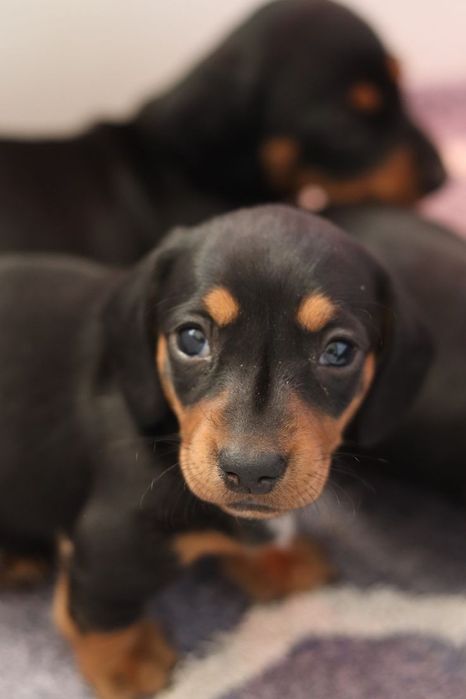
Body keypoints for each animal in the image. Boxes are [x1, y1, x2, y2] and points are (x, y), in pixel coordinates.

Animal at [0, 205, 431, 697]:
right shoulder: (111, 541)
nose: (250, 472)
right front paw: (128, 664)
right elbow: (104, 613)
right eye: (191, 339)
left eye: (340, 351)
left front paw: (278, 560)